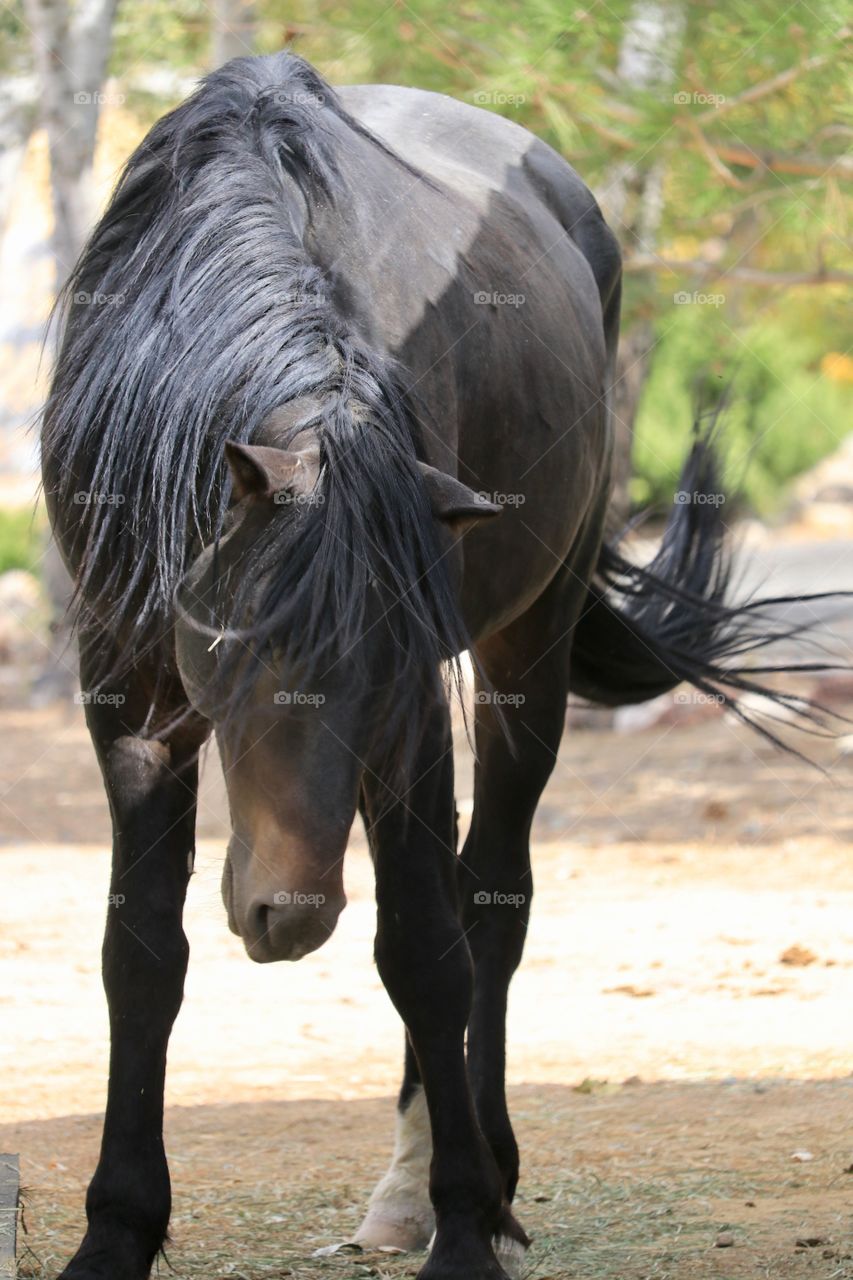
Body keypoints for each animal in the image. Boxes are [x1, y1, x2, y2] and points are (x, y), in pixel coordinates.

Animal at [43, 49, 824, 1280]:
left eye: (387, 652)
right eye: (229, 640)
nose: (289, 913)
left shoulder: (414, 706)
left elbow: (424, 950)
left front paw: (462, 1224)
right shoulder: (124, 690)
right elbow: (141, 953)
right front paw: (115, 1230)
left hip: (526, 655)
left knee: (484, 902)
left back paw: (458, 1183)